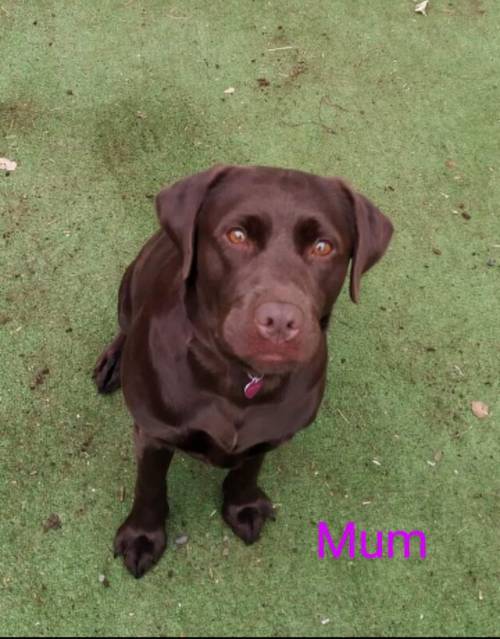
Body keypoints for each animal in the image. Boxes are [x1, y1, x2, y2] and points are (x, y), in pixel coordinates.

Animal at [92, 165, 392, 580]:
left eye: (323, 247)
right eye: (237, 236)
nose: (280, 320)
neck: (238, 379)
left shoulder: (271, 433)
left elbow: (249, 468)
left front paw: (243, 505)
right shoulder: (154, 433)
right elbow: (149, 487)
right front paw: (142, 536)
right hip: (130, 281)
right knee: (123, 323)